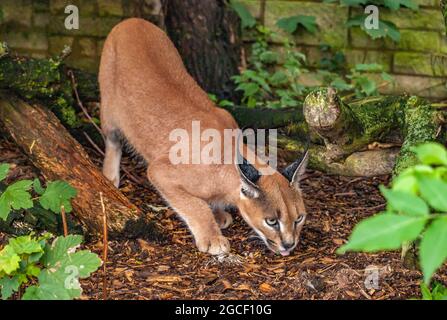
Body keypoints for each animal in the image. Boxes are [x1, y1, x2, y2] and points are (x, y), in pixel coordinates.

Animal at [98, 18, 310, 256]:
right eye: (272, 221)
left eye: (299, 218)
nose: (289, 244)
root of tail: (132, 20)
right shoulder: (160, 170)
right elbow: (195, 205)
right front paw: (212, 236)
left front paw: (218, 213)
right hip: (109, 110)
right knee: (112, 140)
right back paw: (110, 177)